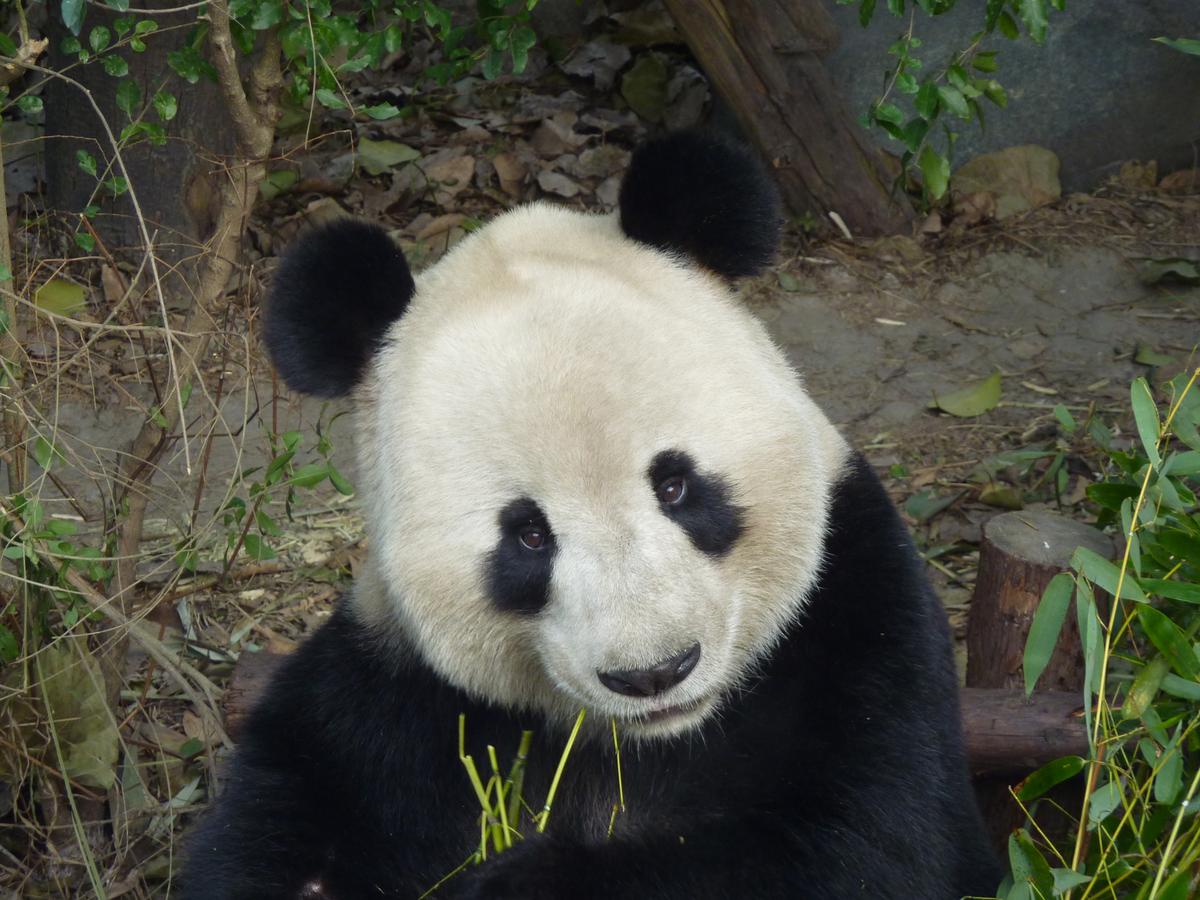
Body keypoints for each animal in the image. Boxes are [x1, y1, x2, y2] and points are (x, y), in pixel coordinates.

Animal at [182, 131, 999, 899]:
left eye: (675, 487)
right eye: (528, 535)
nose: (654, 672)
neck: (643, 742)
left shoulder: (855, 623)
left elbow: (866, 845)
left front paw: (518, 883)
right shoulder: (391, 697)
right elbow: (286, 828)